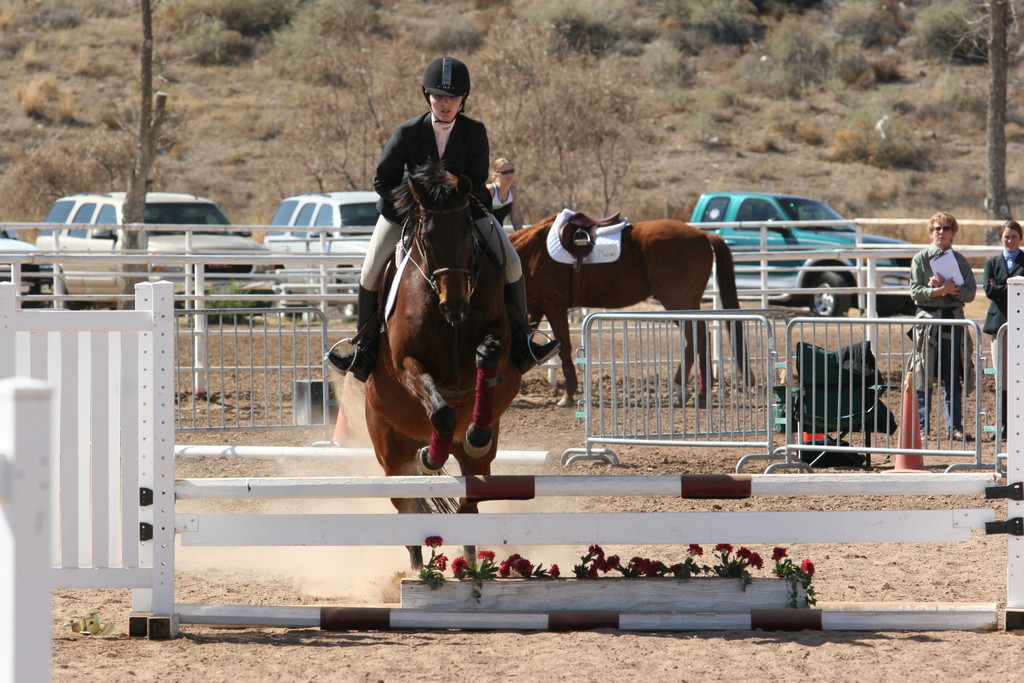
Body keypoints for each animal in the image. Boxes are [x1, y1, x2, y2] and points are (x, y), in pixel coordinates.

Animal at [362, 162, 520, 569]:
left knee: (469, 503)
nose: (454, 305)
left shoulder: (500, 334)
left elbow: (488, 360)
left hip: (476, 467)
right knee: (409, 506)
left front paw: (476, 431)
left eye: (467, 231)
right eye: (428, 236)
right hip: (391, 455)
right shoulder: (407, 364)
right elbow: (443, 412)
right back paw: (418, 567)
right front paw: (432, 457)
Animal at [512, 214, 745, 405]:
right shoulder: (535, 308)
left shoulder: (554, 306)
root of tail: (703, 235)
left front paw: (568, 394)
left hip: (678, 301)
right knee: (699, 336)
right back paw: (699, 392)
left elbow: (564, 347)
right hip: (688, 302)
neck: (532, 253)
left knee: (695, 336)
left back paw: (686, 390)